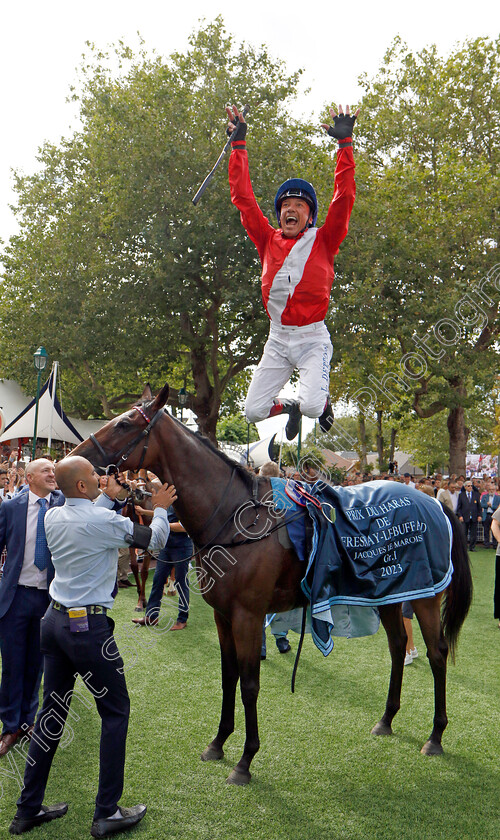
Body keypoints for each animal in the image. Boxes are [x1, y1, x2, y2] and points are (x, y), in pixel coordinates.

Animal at [70, 384, 472, 784]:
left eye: (124, 423)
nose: (78, 457)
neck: (236, 515)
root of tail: (434, 503)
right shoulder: (223, 617)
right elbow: (228, 677)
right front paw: (218, 743)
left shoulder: (248, 616)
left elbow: (250, 685)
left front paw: (245, 760)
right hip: (389, 593)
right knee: (397, 646)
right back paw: (387, 719)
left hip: (424, 596)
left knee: (436, 653)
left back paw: (435, 735)